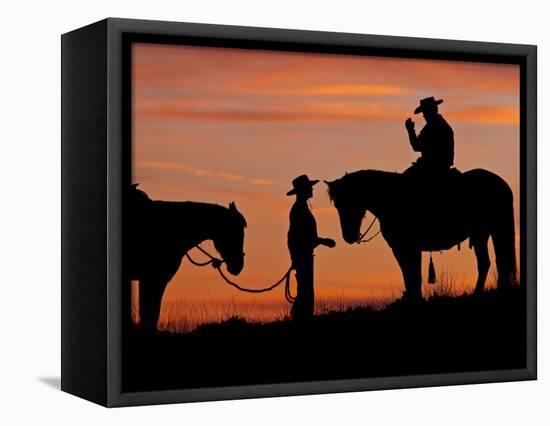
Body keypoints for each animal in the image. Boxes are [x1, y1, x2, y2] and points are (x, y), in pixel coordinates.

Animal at [330, 170, 520, 300]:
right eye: (337, 206)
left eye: (348, 202)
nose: (348, 236)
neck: (392, 198)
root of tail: (502, 184)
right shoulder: (406, 248)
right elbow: (411, 273)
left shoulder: (404, 247)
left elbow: (411, 273)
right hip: (487, 232)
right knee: (496, 261)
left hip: (487, 232)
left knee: (492, 262)